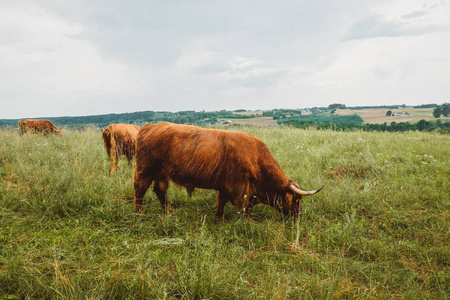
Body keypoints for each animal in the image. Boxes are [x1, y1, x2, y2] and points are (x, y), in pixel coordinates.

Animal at [134, 122, 324, 220]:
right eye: (296, 200)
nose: (298, 216)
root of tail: (149, 126)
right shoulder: (239, 186)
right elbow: (243, 205)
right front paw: (247, 220)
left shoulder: (227, 185)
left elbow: (222, 201)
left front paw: (219, 217)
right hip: (146, 168)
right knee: (139, 187)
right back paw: (139, 211)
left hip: (160, 172)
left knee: (160, 190)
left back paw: (169, 211)